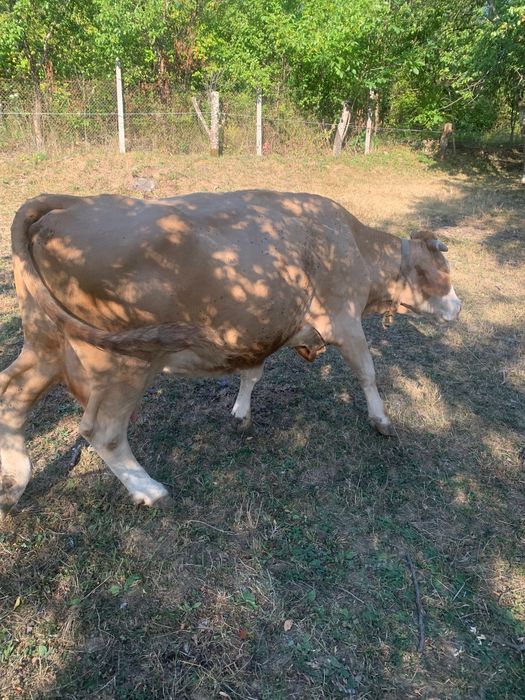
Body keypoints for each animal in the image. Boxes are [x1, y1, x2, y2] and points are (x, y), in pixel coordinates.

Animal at [0, 191, 461, 515]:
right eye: (442, 272)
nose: (458, 307)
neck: (355, 246)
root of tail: (71, 202)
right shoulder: (343, 318)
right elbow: (367, 371)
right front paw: (381, 421)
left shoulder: (259, 330)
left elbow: (252, 373)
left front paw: (240, 413)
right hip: (123, 361)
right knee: (102, 430)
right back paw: (149, 490)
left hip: (46, 342)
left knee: (11, 393)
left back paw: (15, 481)